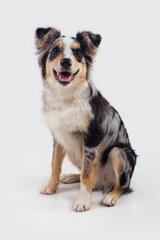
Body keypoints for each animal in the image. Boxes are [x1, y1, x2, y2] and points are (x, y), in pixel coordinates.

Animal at [34, 27, 136, 212]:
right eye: (55, 50)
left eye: (78, 53)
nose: (66, 62)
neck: (66, 96)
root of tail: (104, 183)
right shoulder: (59, 137)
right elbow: (55, 164)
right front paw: (51, 187)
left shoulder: (92, 138)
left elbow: (87, 174)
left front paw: (83, 201)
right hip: (72, 151)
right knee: (89, 178)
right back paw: (70, 177)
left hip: (119, 152)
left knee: (122, 186)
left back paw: (111, 196)